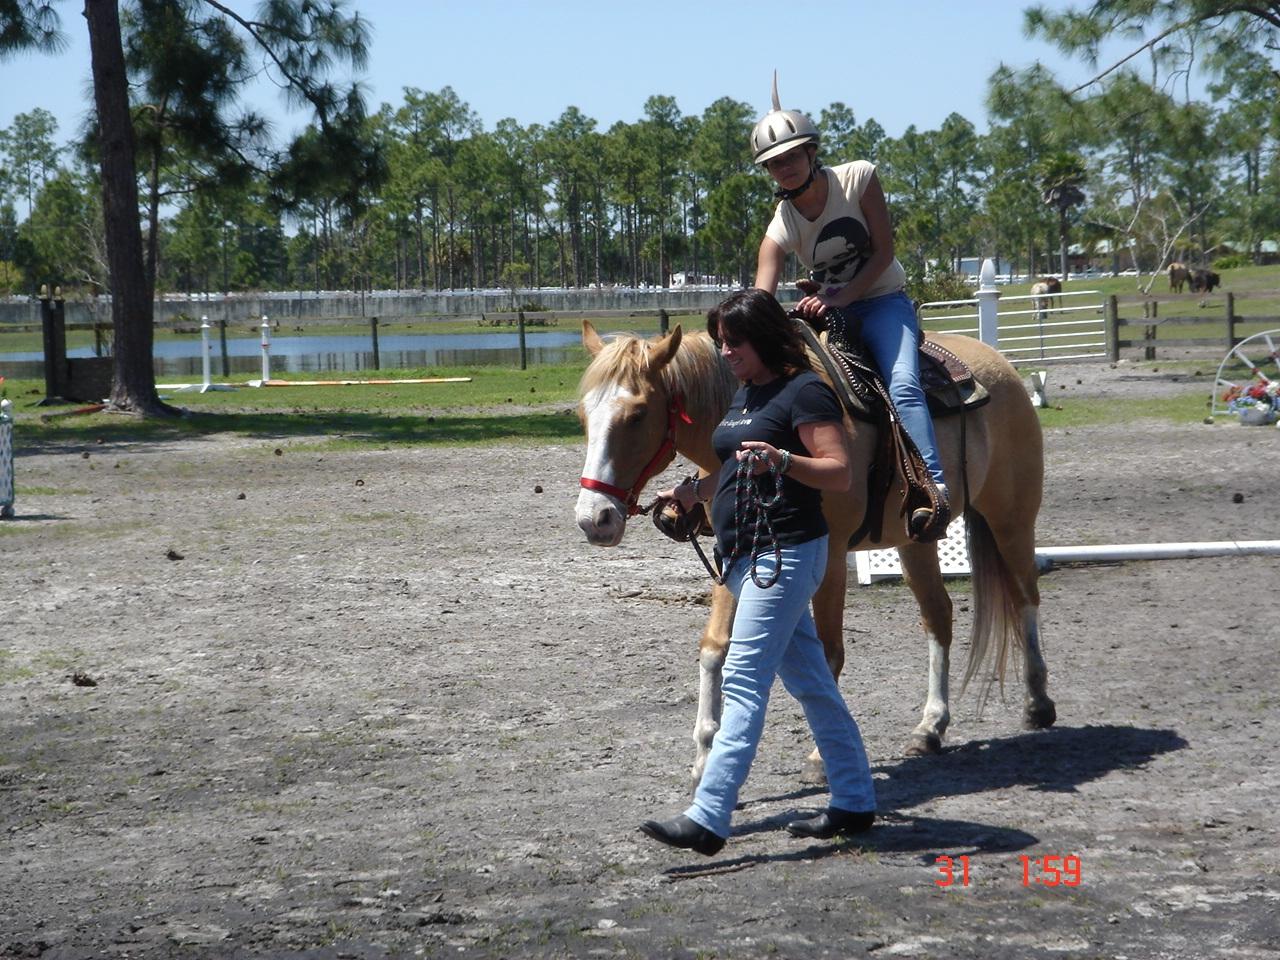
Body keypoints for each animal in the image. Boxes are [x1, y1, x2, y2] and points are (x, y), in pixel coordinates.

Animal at [576, 320, 1054, 783]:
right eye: (584, 414)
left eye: (638, 414)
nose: (594, 519)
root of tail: (999, 364)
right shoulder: (734, 552)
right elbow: (715, 648)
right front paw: (703, 759)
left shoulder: (830, 557)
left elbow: (829, 652)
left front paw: (821, 757)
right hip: (915, 542)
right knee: (939, 616)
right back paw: (930, 727)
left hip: (1011, 518)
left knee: (1026, 596)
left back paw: (1037, 703)